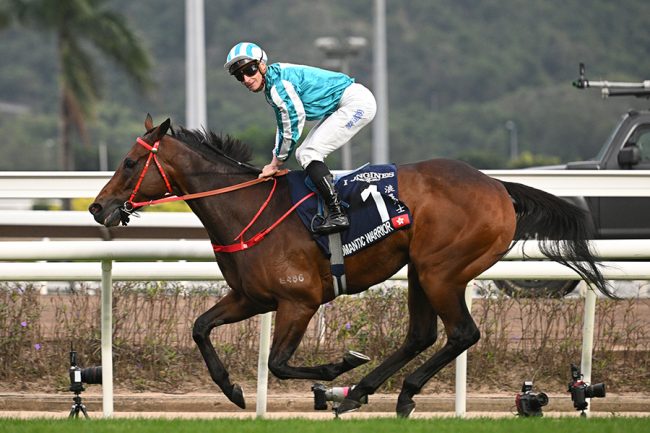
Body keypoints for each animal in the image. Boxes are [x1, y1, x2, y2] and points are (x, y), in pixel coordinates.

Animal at [89, 114, 610, 417]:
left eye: (130, 162)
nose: (98, 208)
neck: (246, 208)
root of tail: (499, 186)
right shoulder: (251, 298)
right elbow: (199, 327)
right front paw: (233, 391)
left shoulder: (298, 300)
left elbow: (279, 363)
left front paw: (339, 366)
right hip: (419, 270)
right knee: (422, 334)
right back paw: (370, 391)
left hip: (442, 270)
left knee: (462, 332)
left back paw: (390, 389)